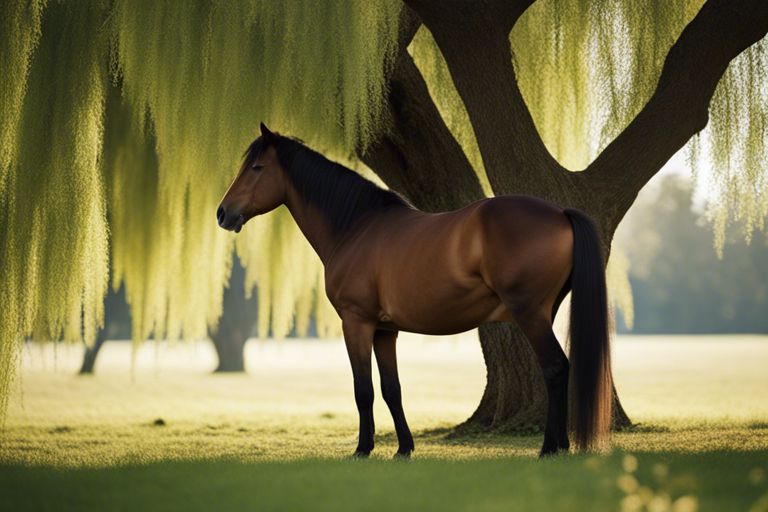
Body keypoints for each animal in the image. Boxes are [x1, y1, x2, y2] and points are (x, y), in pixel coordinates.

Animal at [217, 123, 613, 457]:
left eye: (256, 168)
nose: (223, 214)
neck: (357, 227)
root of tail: (560, 213)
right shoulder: (384, 330)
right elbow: (392, 389)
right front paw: (404, 449)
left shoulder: (356, 322)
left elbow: (364, 390)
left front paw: (363, 449)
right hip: (546, 312)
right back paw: (560, 446)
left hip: (529, 314)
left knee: (555, 368)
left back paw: (549, 448)